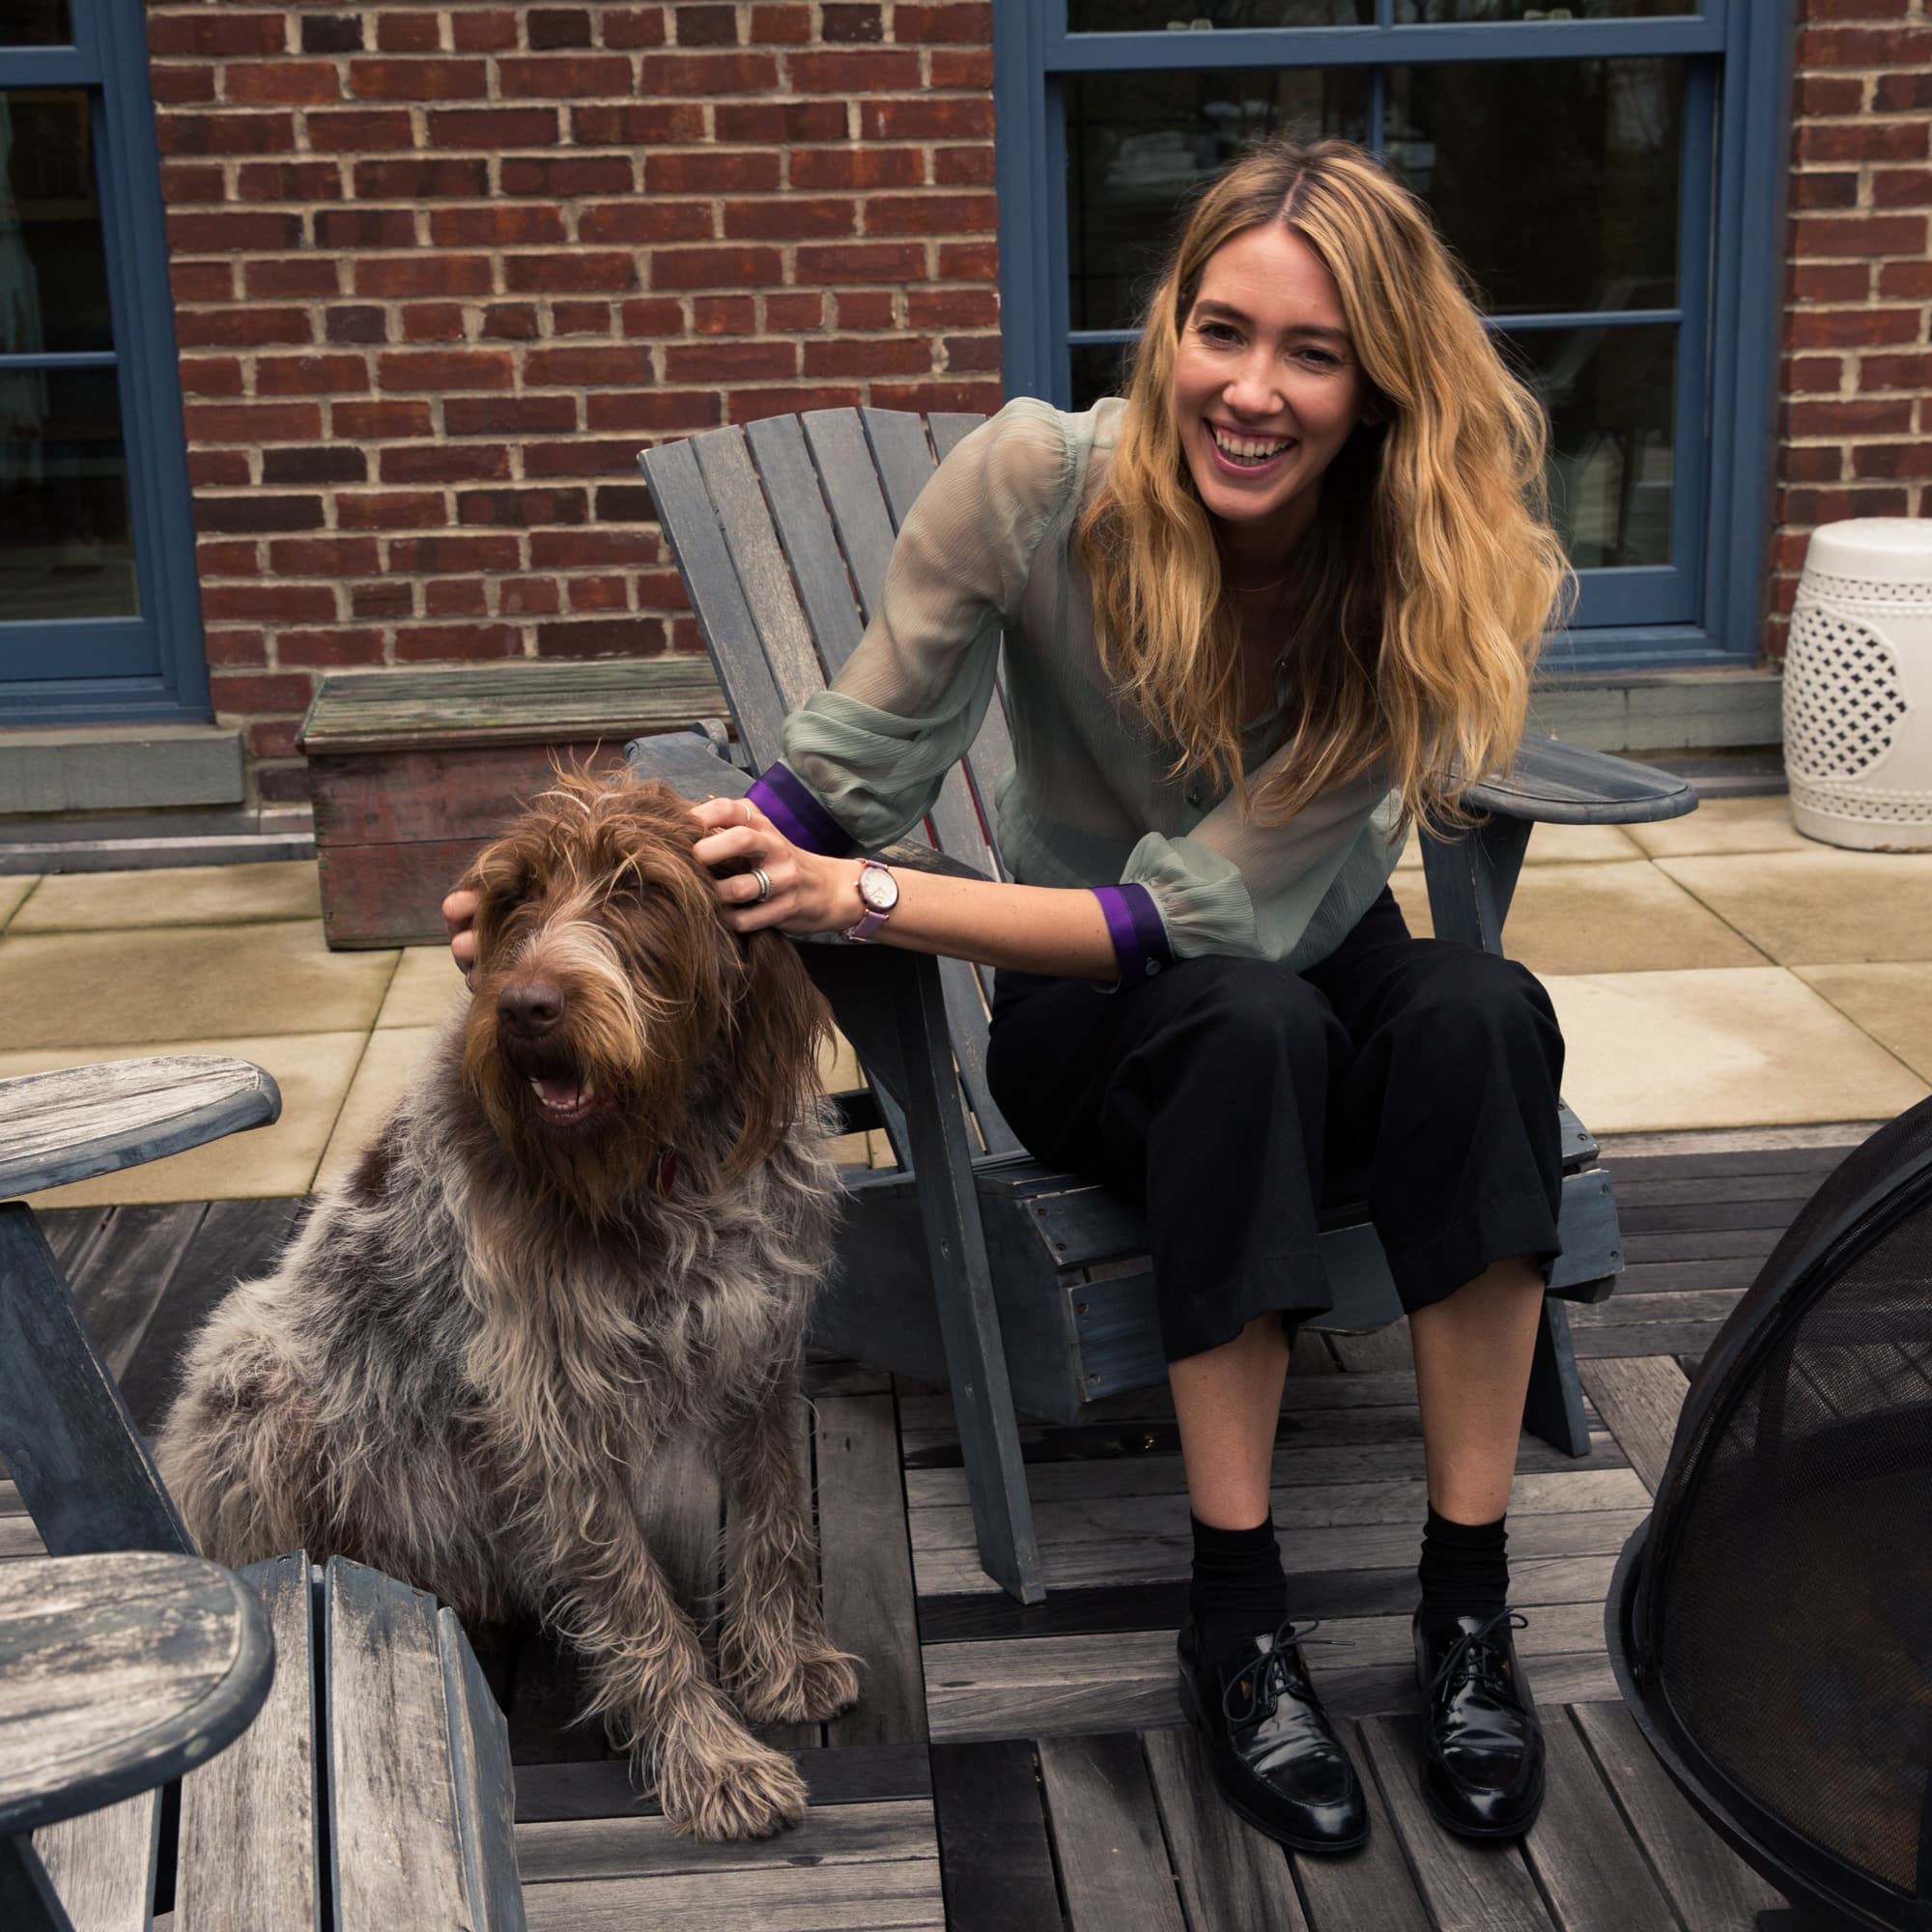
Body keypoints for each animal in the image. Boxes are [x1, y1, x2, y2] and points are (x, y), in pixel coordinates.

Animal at [156, 772, 861, 1840]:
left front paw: (785, 1663)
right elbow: (639, 1608)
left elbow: (776, 1513)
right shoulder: (554, 1417)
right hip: (253, 1383)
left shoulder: (756, 1344)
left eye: (638, 889)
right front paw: (711, 1759)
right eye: (514, 898)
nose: (527, 1005)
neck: (660, 1158)